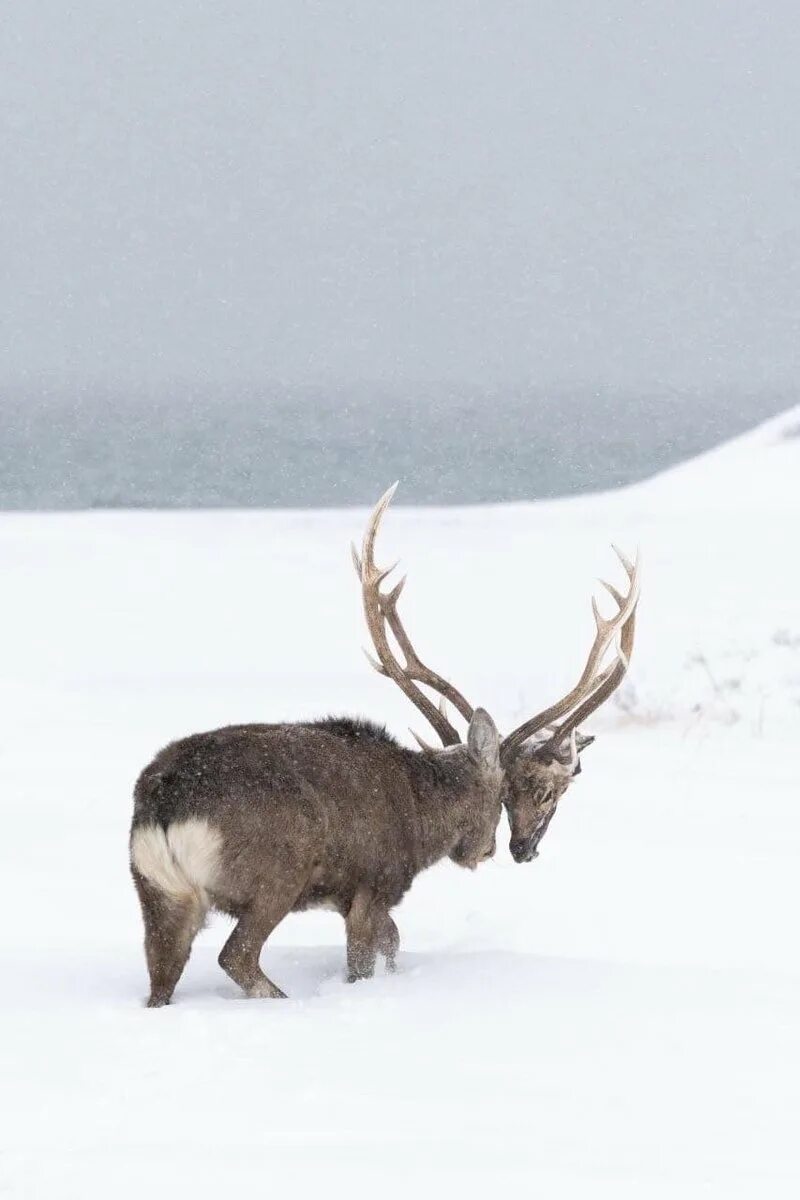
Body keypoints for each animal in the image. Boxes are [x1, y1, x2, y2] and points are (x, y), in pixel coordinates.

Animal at [131, 482, 642, 1008]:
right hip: (276, 873)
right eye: (508, 789)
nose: (496, 850)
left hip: (158, 891)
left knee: (160, 976)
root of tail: (165, 808)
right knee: (236, 955)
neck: (422, 819)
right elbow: (368, 958)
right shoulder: (373, 883)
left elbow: (393, 944)